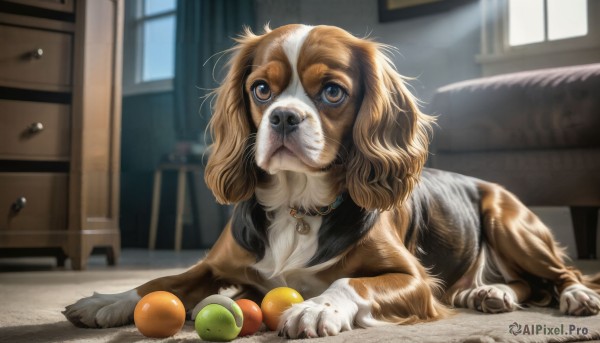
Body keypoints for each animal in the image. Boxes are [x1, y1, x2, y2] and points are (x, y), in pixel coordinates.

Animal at [63, 23, 596, 338]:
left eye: (333, 92)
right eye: (261, 89)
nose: (282, 118)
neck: (298, 204)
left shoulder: (414, 279)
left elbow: (348, 280)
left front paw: (317, 307)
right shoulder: (216, 263)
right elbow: (166, 278)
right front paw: (109, 300)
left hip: (509, 220)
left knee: (561, 273)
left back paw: (573, 296)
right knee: (524, 284)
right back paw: (489, 292)